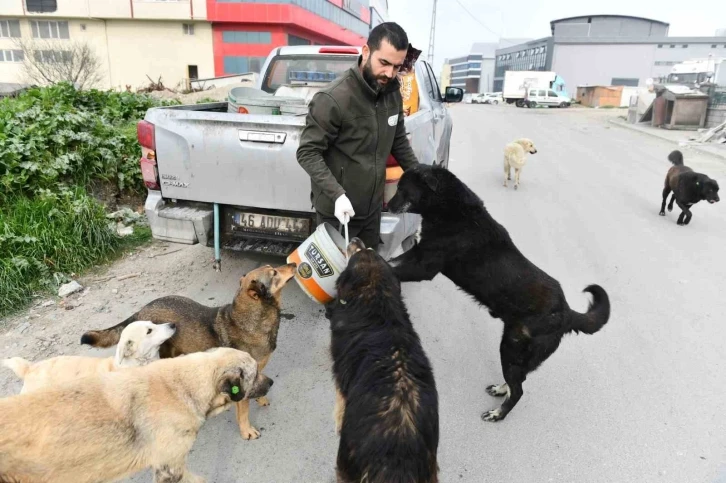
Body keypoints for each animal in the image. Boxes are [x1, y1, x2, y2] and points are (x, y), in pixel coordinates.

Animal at [79, 264, 296, 442]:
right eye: (274, 273)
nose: (293, 264)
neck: (253, 318)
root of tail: (141, 312)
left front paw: (261, 398)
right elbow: (243, 411)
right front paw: (247, 431)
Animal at [328, 238, 440, 483]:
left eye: (359, 252)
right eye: (367, 249)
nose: (356, 239)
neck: (378, 298)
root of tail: (398, 455)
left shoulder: (341, 378)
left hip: (345, 463)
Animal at [390, 166, 612, 424]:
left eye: (402, 189)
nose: (387, 206)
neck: (452, 209)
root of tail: (566, 312)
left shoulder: (424, 267)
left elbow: (392, 268)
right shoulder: (417, 253)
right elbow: (391, 261)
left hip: (511, 348)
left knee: (519, 390)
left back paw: (499, 413)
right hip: (517, 353)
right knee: (519, 380)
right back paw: (501, 390)